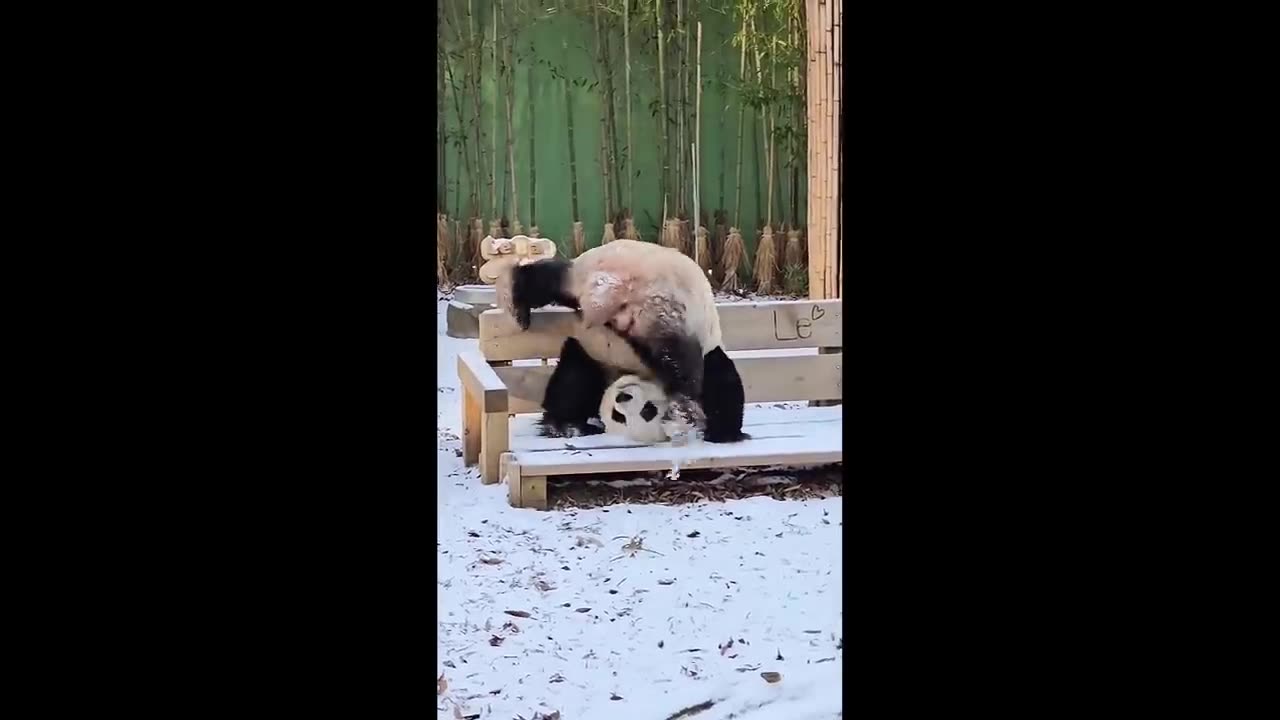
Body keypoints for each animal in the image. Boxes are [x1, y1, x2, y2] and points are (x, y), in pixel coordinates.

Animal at [491, 239, 747, 443]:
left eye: (645, 411)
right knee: (678, 358)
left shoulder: (593, 355)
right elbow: (723, 383)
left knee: (551, 279)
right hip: (666, 310)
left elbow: (574, 381)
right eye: (621, 416)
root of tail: (615, 288)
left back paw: (515, 298)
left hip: (587, 272)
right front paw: (722, 432)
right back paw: (684, 406)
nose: (623, 398)